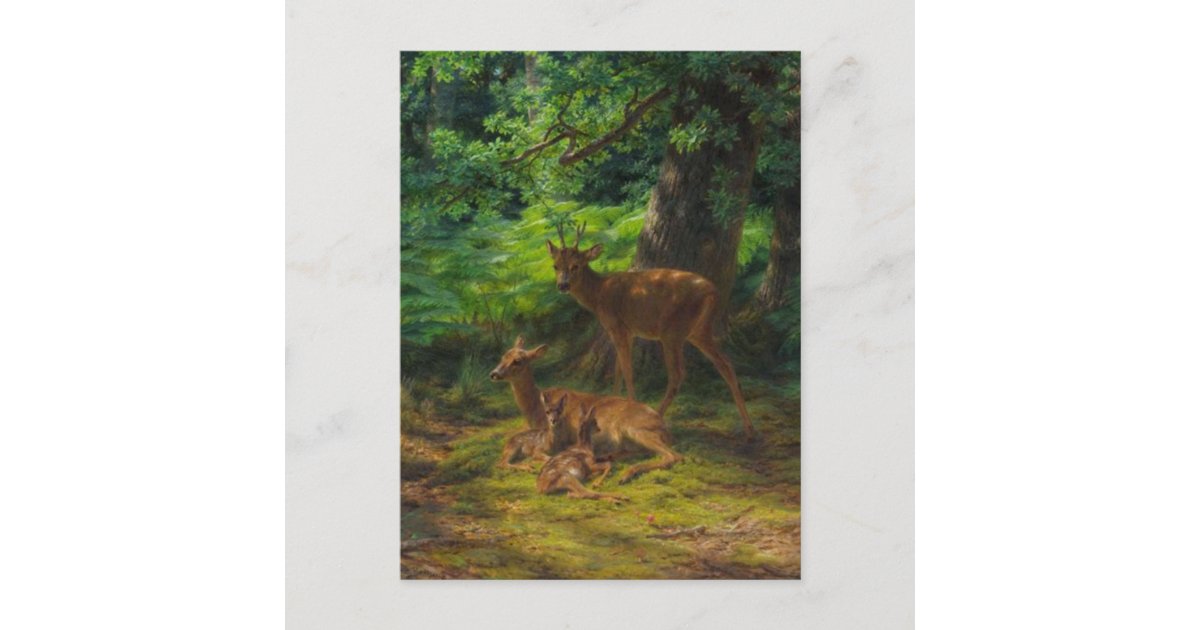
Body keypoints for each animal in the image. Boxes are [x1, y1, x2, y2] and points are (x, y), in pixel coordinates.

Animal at [489, 336, 682, 483]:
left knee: (673, 456)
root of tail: (665, 429)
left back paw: (625, 474)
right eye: (503, 356)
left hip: (635, 428)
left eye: (518, 361)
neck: (536, 407)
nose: (494, 374)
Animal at [546, 222, 756, 439]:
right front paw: (613, 404)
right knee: (726, 364)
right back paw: (750, 429)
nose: (562, 285)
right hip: (699, 331)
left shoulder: (617, 327)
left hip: (673, 332)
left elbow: (627, 370)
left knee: (678, 374)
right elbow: (618, 369)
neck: (599, 294)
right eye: (555, 265)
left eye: (575, 265)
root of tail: (713, 292)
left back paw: (656, 416)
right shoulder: (628, 332)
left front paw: (626, 410)